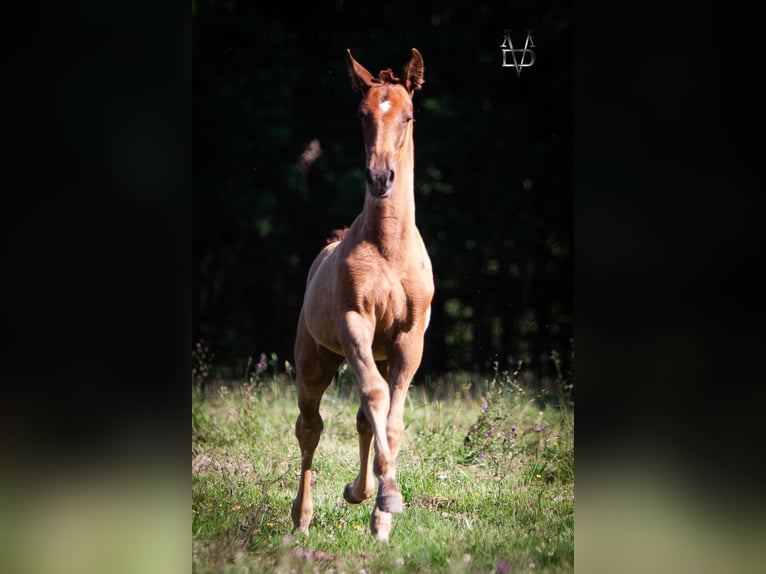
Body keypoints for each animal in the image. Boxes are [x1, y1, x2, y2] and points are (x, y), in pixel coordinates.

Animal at [292, 48, 436, 544]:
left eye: (408, 116)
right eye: (362, 115)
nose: (380, 177)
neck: (389, 248)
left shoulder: (409, 340)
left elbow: (390, 421)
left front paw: (382, 512)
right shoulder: (356, 323)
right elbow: (375, 397)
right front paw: (386, 496)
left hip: (382, 353)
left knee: (359, 420)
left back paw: (360, 493)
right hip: (313, 361)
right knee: (310, 427)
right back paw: (302, 517)